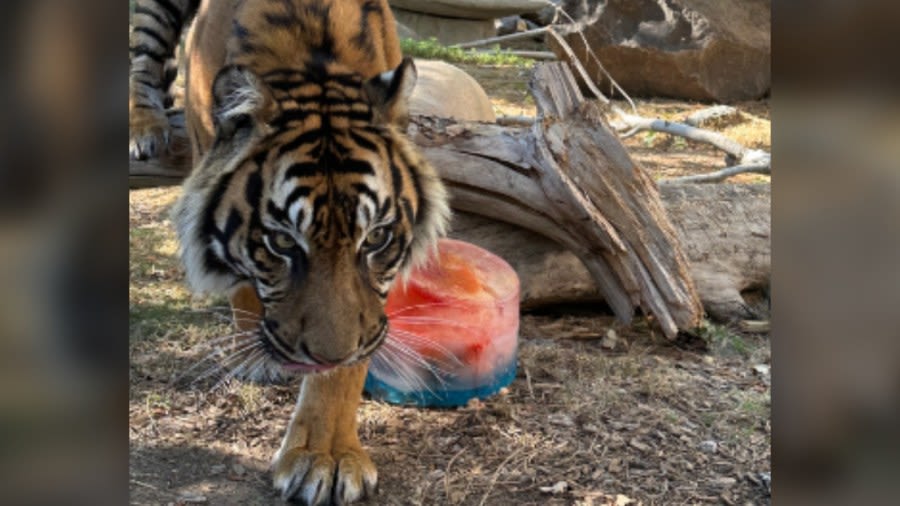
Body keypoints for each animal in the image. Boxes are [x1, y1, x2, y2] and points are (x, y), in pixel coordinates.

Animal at [128, 1, 450, 504]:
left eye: (375, 238)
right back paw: (145, 126)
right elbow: (241, 279)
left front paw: (326, 458)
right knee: (143, 59)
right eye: (281, 242)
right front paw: (252, 351)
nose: (329, 356)